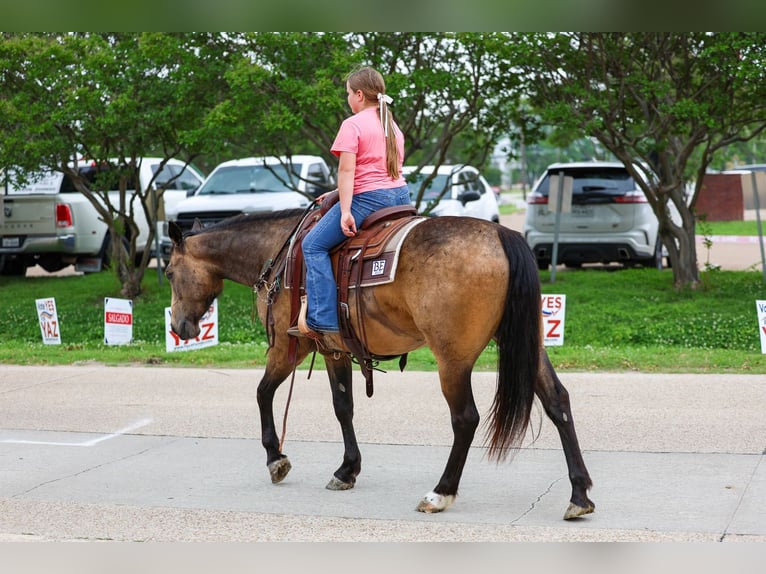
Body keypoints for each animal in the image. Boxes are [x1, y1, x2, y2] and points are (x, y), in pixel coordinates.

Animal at [165, 208, 595, 519]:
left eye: (169, 272)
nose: (179, 327)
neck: (280, 253)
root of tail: (501, 235)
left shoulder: (293, 345)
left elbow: (263, 392)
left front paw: (276, 458)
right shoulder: (334, 349)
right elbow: (343, 406)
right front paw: (347, 470)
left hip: (452, 359)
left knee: (466, 419)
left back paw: (440, 493)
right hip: (527, 345)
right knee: (558, 402)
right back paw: (579, 494)